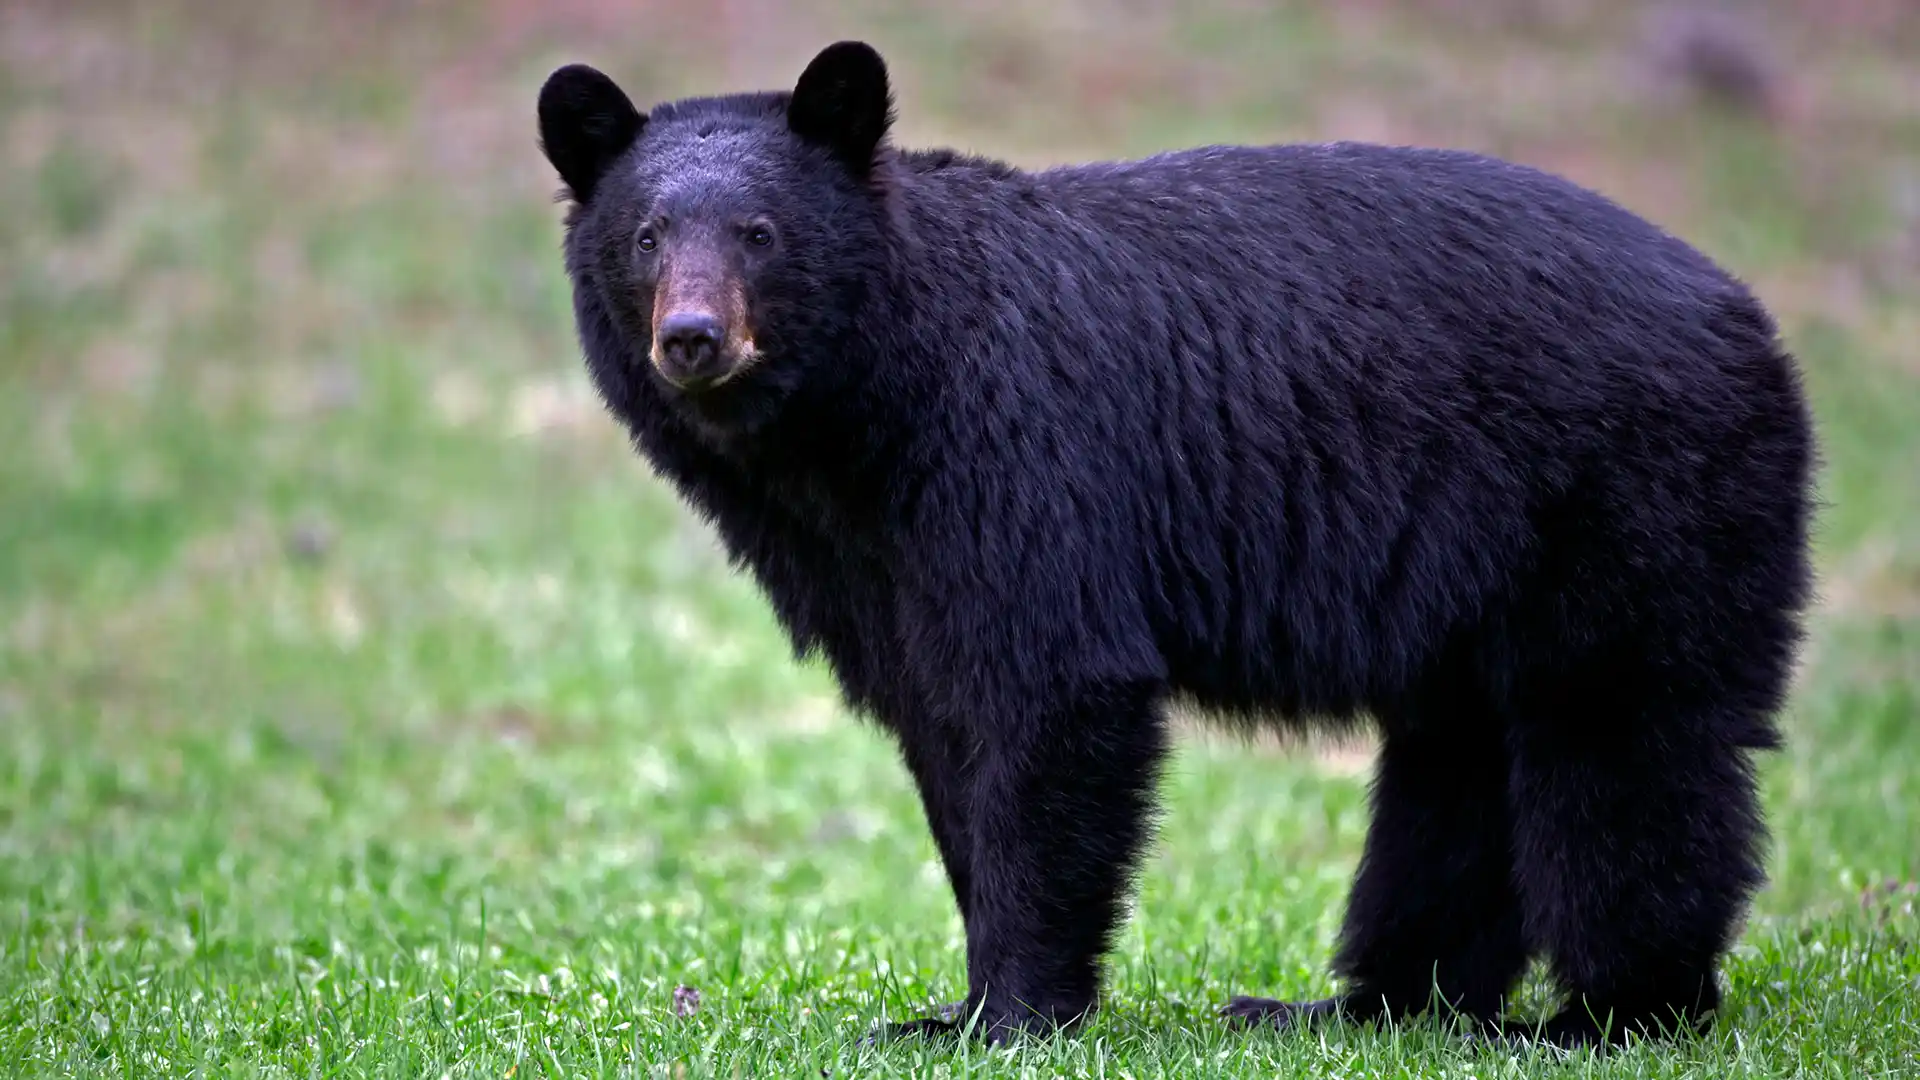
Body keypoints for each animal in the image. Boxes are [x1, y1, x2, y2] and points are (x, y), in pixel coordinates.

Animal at [535, 41, 1815, 1048]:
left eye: (760, 233)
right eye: (646, 236)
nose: (693, 338)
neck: (858, 417)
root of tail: (1756, 323)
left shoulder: (1024, 454)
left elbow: (1056, 694)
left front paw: (1012, 1013)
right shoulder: (865, 566)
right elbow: (942, 730)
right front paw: (946, 1008)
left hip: (1631, 499)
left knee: (1620, 743)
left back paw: (1605, 1015)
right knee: (1458, 767)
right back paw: (1358, 1006)